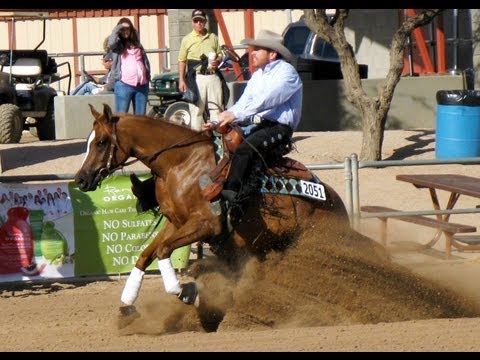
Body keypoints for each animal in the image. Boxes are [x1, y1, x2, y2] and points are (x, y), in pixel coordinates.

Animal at [74, 103, 348, 316]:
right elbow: (145, 255)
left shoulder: (205, 224)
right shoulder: (175, 222)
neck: (180, 163)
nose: (81, 179)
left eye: (101, 142)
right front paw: (128, 302)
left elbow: (163, 251)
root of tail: (336, 202)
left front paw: (187, 292)